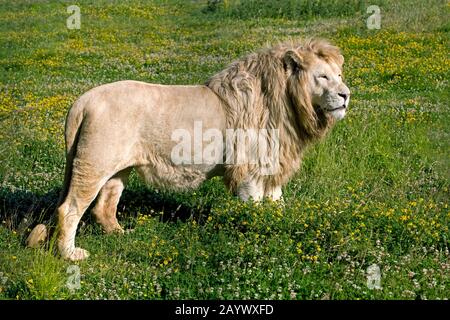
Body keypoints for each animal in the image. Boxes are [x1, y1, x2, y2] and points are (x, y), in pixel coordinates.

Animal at [27, 38, 352, 262]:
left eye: (338, 75)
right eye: (323, 77)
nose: (346, 95)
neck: (289, 107)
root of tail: (82, 101)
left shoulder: (271, 164)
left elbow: (276, 203)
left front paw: (277, 227)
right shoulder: (247, 168)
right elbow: (254, 208)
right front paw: (256, 235)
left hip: (118, 169)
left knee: (104, 206)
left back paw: (122, 235)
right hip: (93, 164)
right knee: (69, 209)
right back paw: (70, 255)